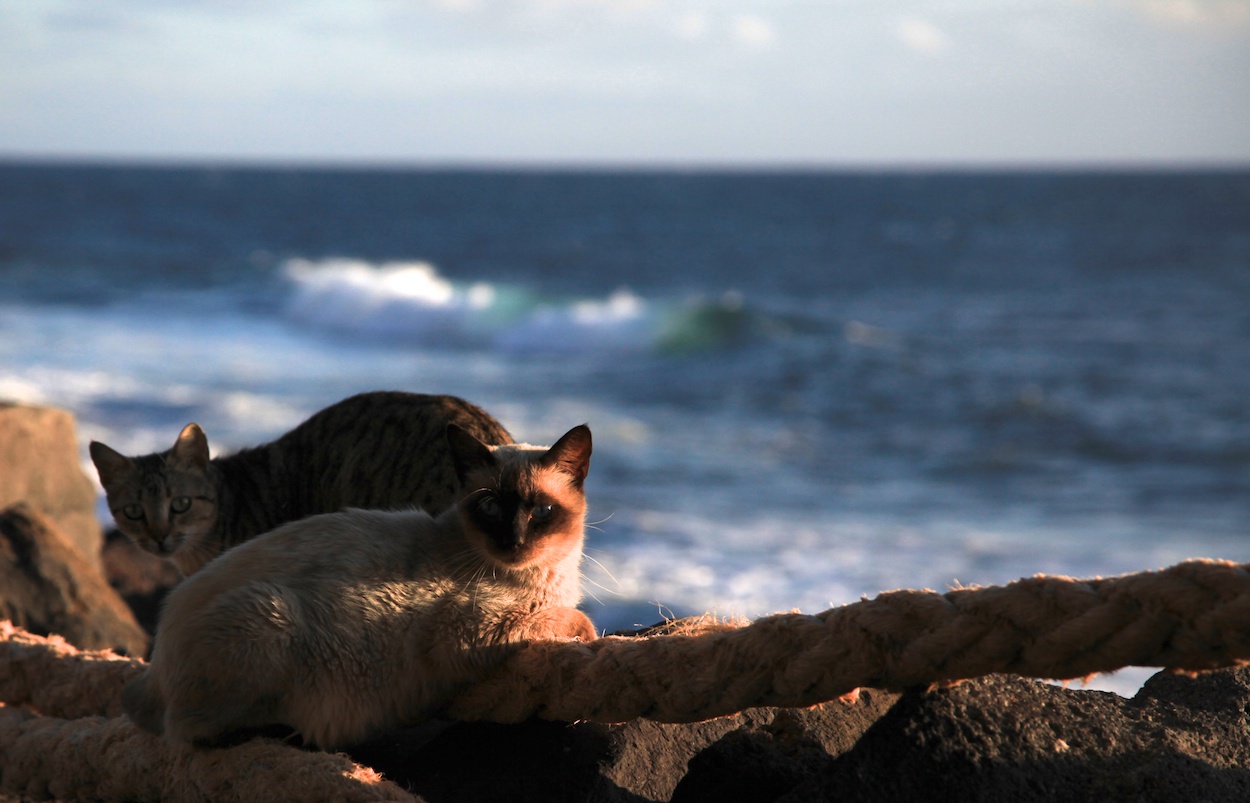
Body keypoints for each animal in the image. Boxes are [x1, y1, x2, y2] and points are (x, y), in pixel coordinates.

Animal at [124, 422, 592, 745]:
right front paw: (584, 631)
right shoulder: (468, 632)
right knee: (186, 732)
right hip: (270, 614)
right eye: (491, 508)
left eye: (542, 511)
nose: (513, 542)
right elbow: (575, 620)